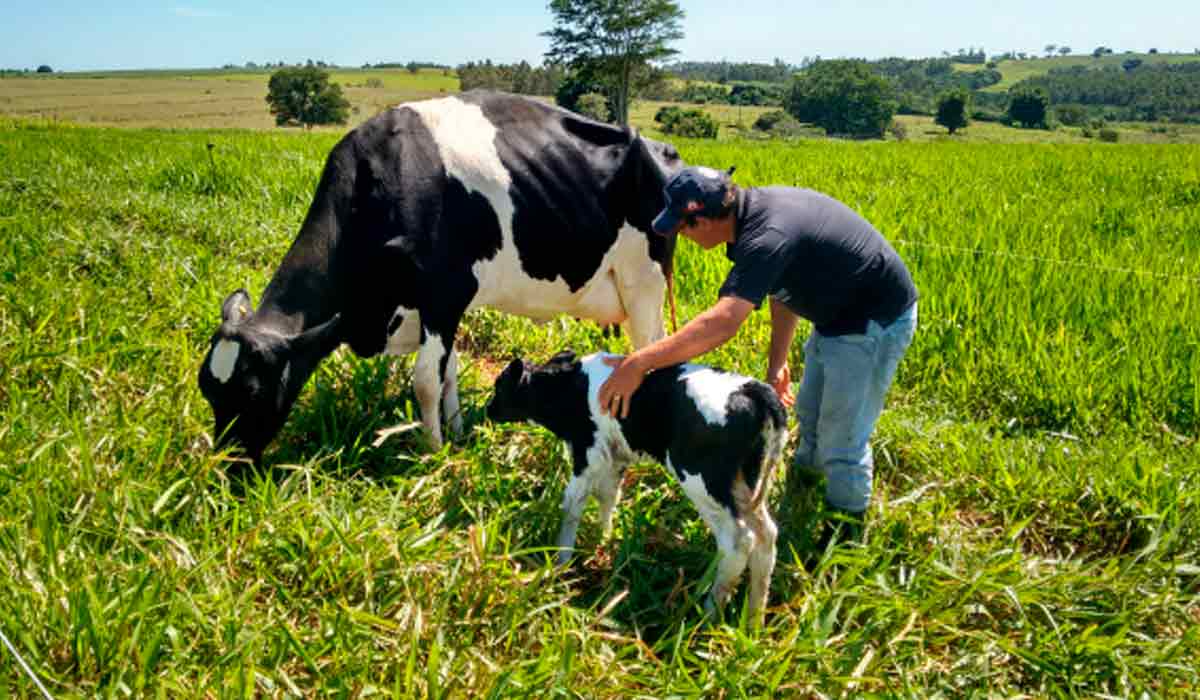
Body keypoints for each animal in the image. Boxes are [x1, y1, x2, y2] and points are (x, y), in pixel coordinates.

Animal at [196, 90, 686, 461]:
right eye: (208, 391)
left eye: (253, 393)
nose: (228, 469)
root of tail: (662, 150)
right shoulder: (440, 309)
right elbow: (447, 370)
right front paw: (457, 432)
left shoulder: (442, 294)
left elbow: (426, 381)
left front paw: (431, 451)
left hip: (643, 284)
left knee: (651, 352)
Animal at [487, 350, 787, 624]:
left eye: (499, 386)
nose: (488, 409)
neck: (569, 387)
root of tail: (755, 391)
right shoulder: (614, 457)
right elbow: (608, 496)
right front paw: (602, 541)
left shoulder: (587, 452)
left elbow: (573, 502)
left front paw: (561, 562)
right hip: (745, 483)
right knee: (767, 535)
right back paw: (753, 620)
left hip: (702, 480)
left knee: (738, 542)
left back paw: (709, 613)